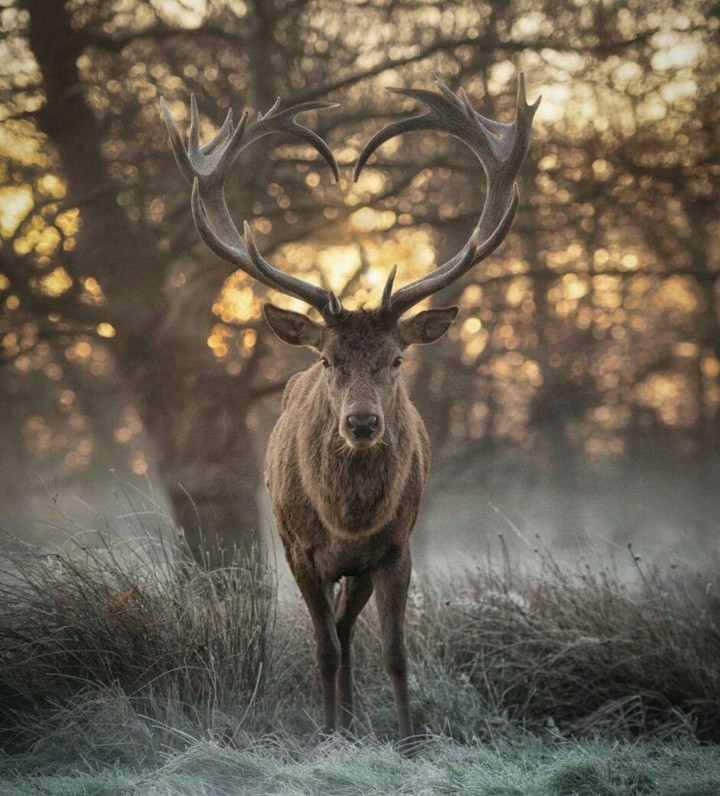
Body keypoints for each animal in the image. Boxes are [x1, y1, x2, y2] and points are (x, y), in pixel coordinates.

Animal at [161, 74, 539, 747]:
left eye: (396, 359)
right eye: (328, 359)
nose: (362, 423)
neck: (348, 519)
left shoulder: (394, 549)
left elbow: (393, 651)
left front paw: (408, 740)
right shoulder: (298, 552)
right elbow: (323, 650)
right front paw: (328, 734)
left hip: (362, 570)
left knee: (347, 626)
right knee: (333, 635)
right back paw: (340, 717)